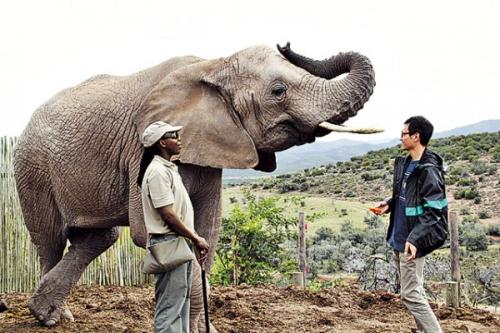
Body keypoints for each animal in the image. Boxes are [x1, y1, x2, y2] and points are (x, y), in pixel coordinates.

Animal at [12, 42, 376, 330]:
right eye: (278, 91)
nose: (285, 43)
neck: (214, 64)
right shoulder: (140, 150)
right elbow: (158, 232)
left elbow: (208, 231)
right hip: (32, 167)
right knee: (50, 239)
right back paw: (50, 317)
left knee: (98, 237)